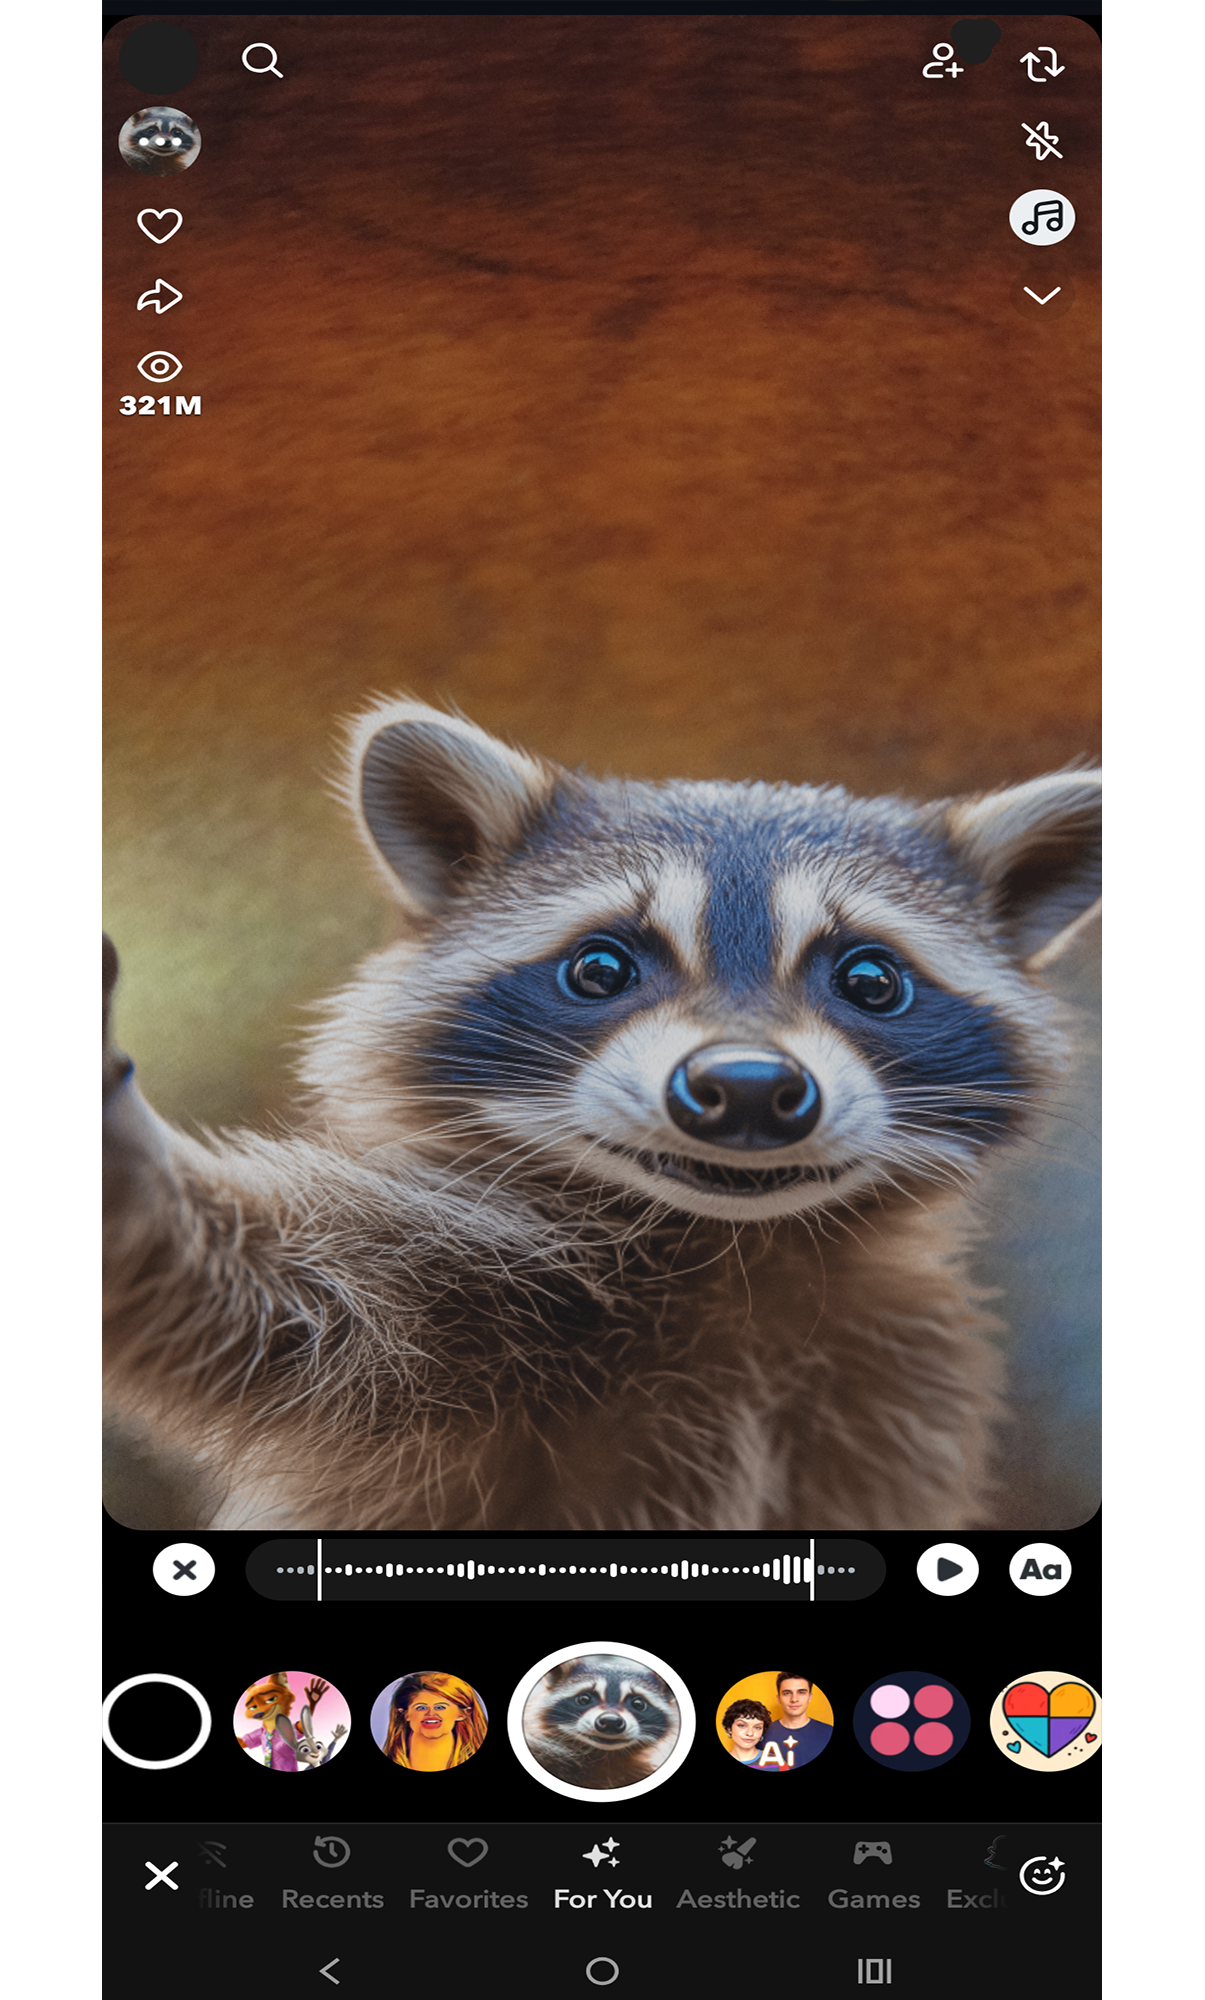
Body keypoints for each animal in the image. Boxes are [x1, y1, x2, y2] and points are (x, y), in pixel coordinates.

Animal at [102, 698, 1100, 1531]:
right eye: (600, 968)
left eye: (868, 980)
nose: (745, 1086)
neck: (736, 1249)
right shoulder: (440, 1299)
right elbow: (263, 1300)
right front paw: (134, 1169)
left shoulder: (899, 1377)